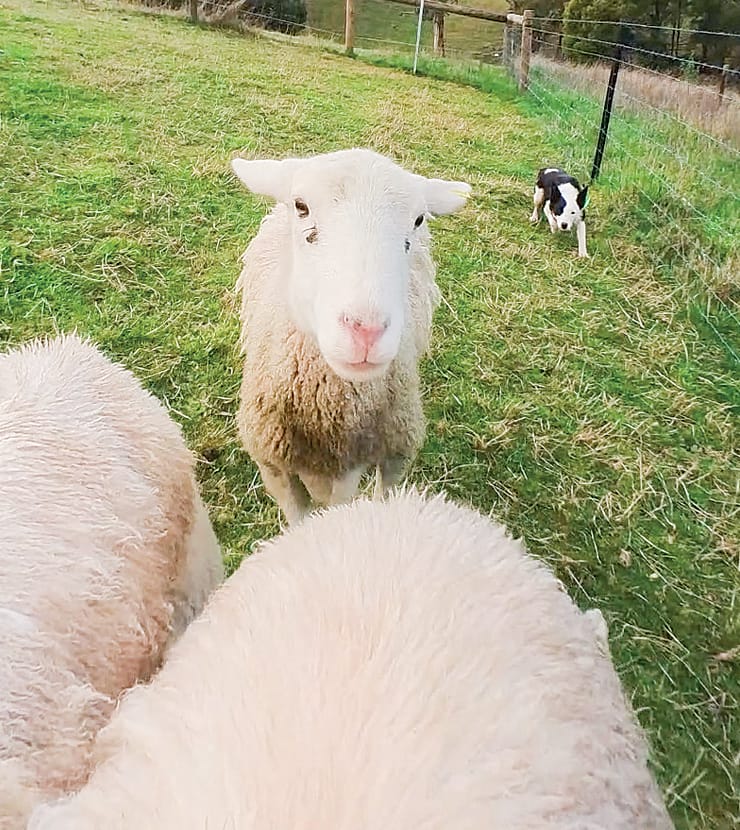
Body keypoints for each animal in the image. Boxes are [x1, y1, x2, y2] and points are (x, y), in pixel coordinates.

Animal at [231, 148, 471, 524]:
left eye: (418, 220)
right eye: (301, 206)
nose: (366, 330)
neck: (325, 413)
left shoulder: (363, 462)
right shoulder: (273, 465)